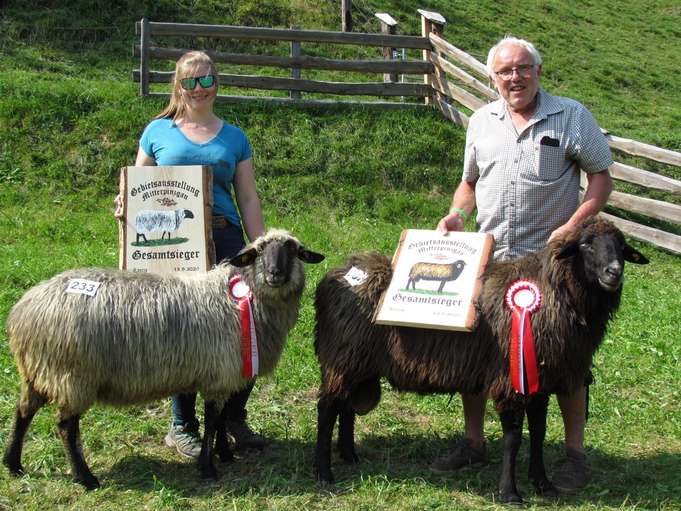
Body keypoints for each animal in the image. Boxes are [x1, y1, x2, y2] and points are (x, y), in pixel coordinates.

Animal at [1, 230, 324, 490]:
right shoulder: (219, 373)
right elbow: (212, 421)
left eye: (293, 250)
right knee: (66, 427)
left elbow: (219, 421)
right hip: (72, 375)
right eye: (258, 252)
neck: (241, 299)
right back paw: (86, 478)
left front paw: (225, 454)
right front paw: (208, 468)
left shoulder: (225, 376)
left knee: (23, 411)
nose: (275, 274)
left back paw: (13, 464)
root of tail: (23, 311)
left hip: (38, 370)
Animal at [314, 217, 648, 504]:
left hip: (356, 363)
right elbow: (514, 438)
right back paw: (323, 472)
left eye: (621, 247)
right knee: (328, 408)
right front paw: (509, 492)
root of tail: (339, 272)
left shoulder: (541, 380)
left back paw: (349, 455)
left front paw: (542, 483)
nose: (614, 272)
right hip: (342, 358)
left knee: (345, 407)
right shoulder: (511, 379)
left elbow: (538, 433)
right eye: (586, 244)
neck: (555, 292)